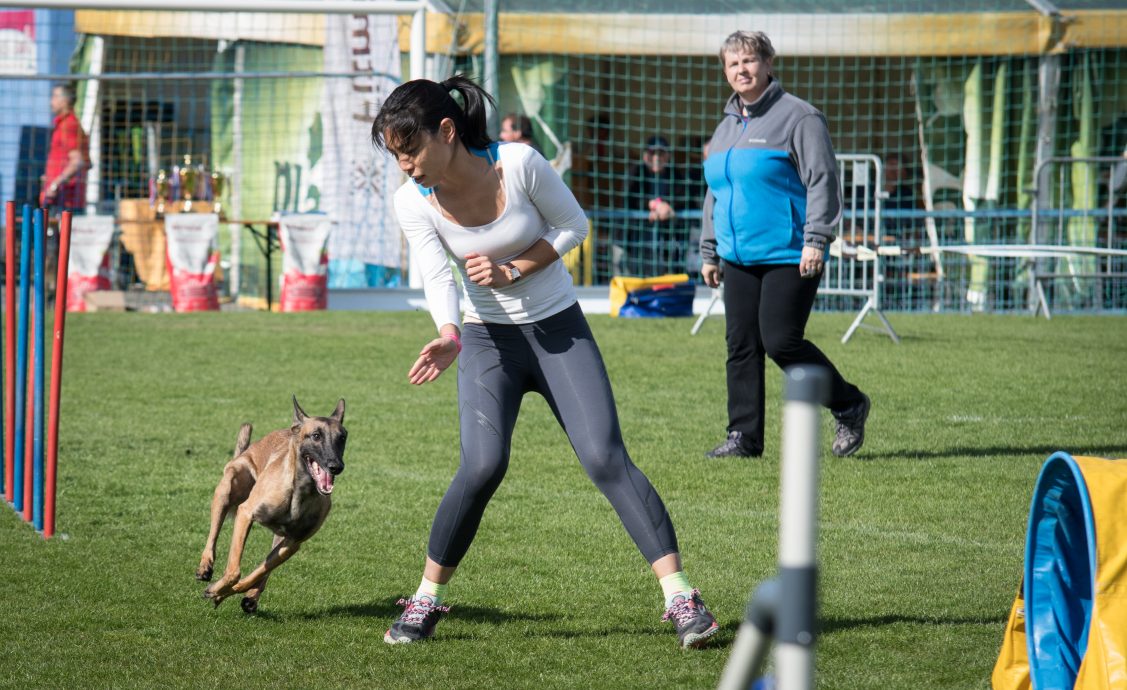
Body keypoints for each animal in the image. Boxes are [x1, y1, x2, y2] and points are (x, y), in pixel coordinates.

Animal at [197, 396, 347, 613]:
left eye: (342, 438)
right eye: (316, 436)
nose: (336, 466)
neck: (300, 491)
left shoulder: (293, 543)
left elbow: (256, 574)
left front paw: (221, 592)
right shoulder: (246, 513)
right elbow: (234, 572)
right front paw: (219, 588)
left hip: (280, 540)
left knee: (265, 569)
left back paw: (250, 597)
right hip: (227, 487)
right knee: (213, 535)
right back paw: (205, 567)